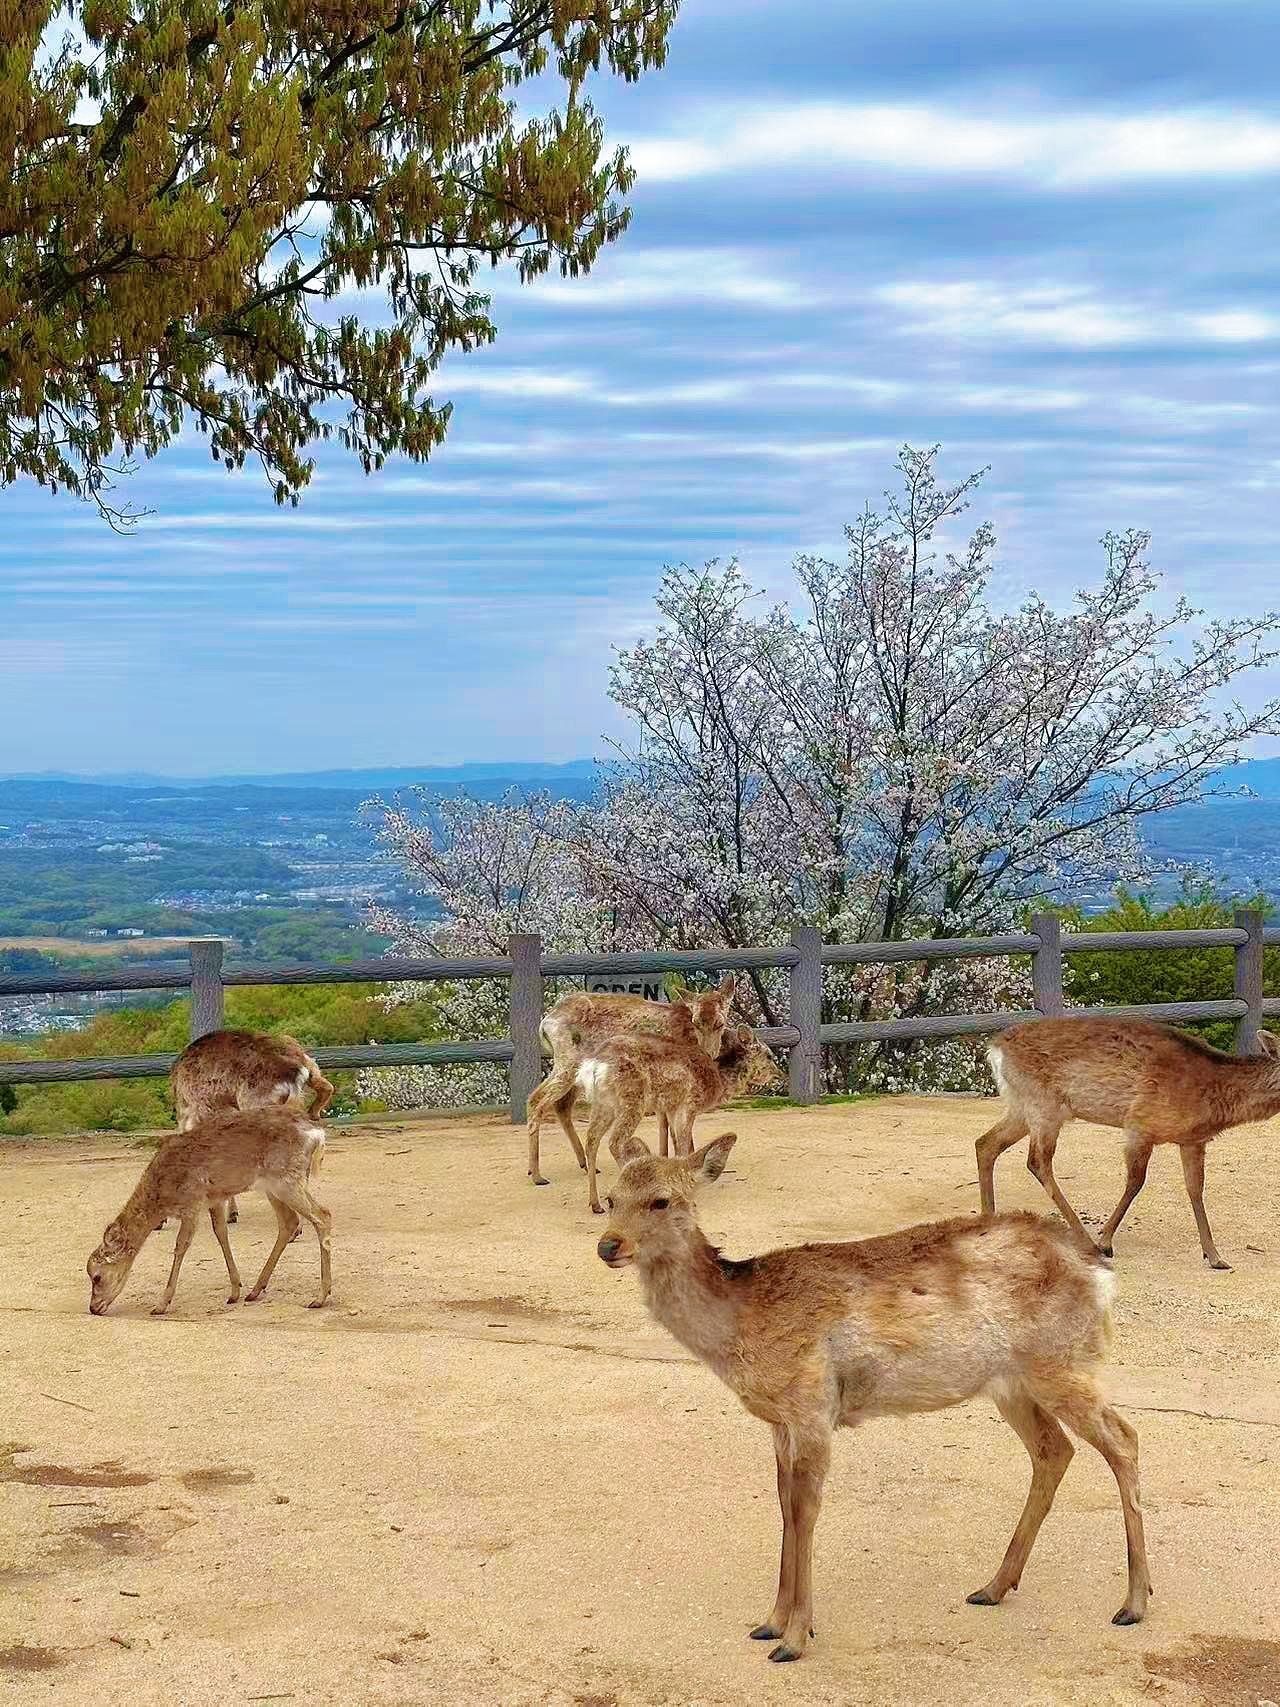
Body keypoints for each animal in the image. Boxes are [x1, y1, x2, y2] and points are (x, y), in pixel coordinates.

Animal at [86, 1106, 333, 1317]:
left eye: (96, 1276)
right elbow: (221, 1233)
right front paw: (235, 1291)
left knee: (323, 1215)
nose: (93, 1308)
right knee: (289, 1222)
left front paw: (161, 1304)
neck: (162, 1194)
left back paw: (320, 1297)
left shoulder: (192, 1203)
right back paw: (255, 1290)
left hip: (286, 1179)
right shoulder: (215, 1198)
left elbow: (181, 1246)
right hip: (274, 1185)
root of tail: (317, 1134)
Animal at [528, 974, 738, 1186]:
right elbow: (675, 1129)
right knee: (537, 1099)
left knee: (561, 1104)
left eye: (720, 1023)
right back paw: (537, 1175)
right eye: (696, 1023)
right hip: (568, 1061)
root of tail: (545, 1023)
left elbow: (664, 1123)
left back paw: (583, 1165)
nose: (708, 1053)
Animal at [535, 1020, 781, 1213]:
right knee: (614, 1142)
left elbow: (678, 1144)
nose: (780, 1075)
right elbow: (684, 1147)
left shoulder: (671, 1109)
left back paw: (596, 1204)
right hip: (632, 1102)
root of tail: (594, 1066)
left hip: (604, 1104)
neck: (717, 1080)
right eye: (769, 1055)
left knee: (592, 1140)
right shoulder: (687, 1105)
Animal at [597, 1137, 1151, 1663]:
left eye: (661, 1200)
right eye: (611, 1197)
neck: (743, 1319)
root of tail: (1100, 1275)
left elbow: (805, 1511)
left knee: (1125, 1439)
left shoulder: (813, 1404)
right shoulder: (779, 1421)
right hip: (1012, 1382)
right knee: (1054, 1450)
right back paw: (993, 1586)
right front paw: (770, 1622)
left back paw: (1134, 1602)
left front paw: (795, 1638)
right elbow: (783, 1506)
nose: (608, 1246)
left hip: (1061, 1362)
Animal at [977, 1016, 1280, 1270]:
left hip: (1021, 1107)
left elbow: (1195, 1189)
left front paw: (1215, 1256)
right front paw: (1105, 1240)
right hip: (1043, 1105)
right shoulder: (1139, 1124)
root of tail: (994, 1048)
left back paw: (988, 1221)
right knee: (1037, 1161)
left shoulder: (1193, 1140)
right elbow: (1136, 1182)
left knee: (986, 1143)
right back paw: (1086, 1241)